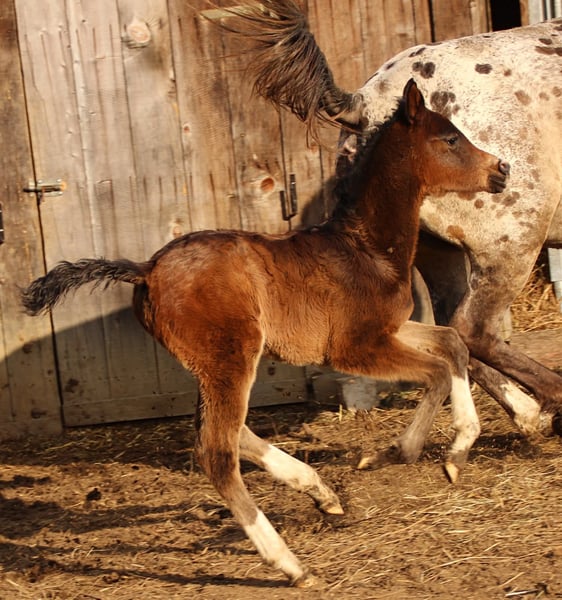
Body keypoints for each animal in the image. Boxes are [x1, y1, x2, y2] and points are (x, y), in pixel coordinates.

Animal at [21, 81, 508, 586]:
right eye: (449, 139)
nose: (501, 169)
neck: (366, 249)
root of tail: (145, 269)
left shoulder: (389, 330)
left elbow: (452, 344)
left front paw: (451, 452)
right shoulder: (355, 347)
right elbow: (435, 371)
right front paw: (406, 452)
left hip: (215, 364)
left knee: (226, 431)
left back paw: (320, 492)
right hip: (231, 357)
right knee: (216, 449)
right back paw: (289, 563)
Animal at [224, 0, 562, 436]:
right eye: (450, 139)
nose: (500, 169)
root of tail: (366, 103)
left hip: (440, 250)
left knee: (456, 330)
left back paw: (527, 413)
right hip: (512, 242)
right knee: (473, 328)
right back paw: (549, 402)